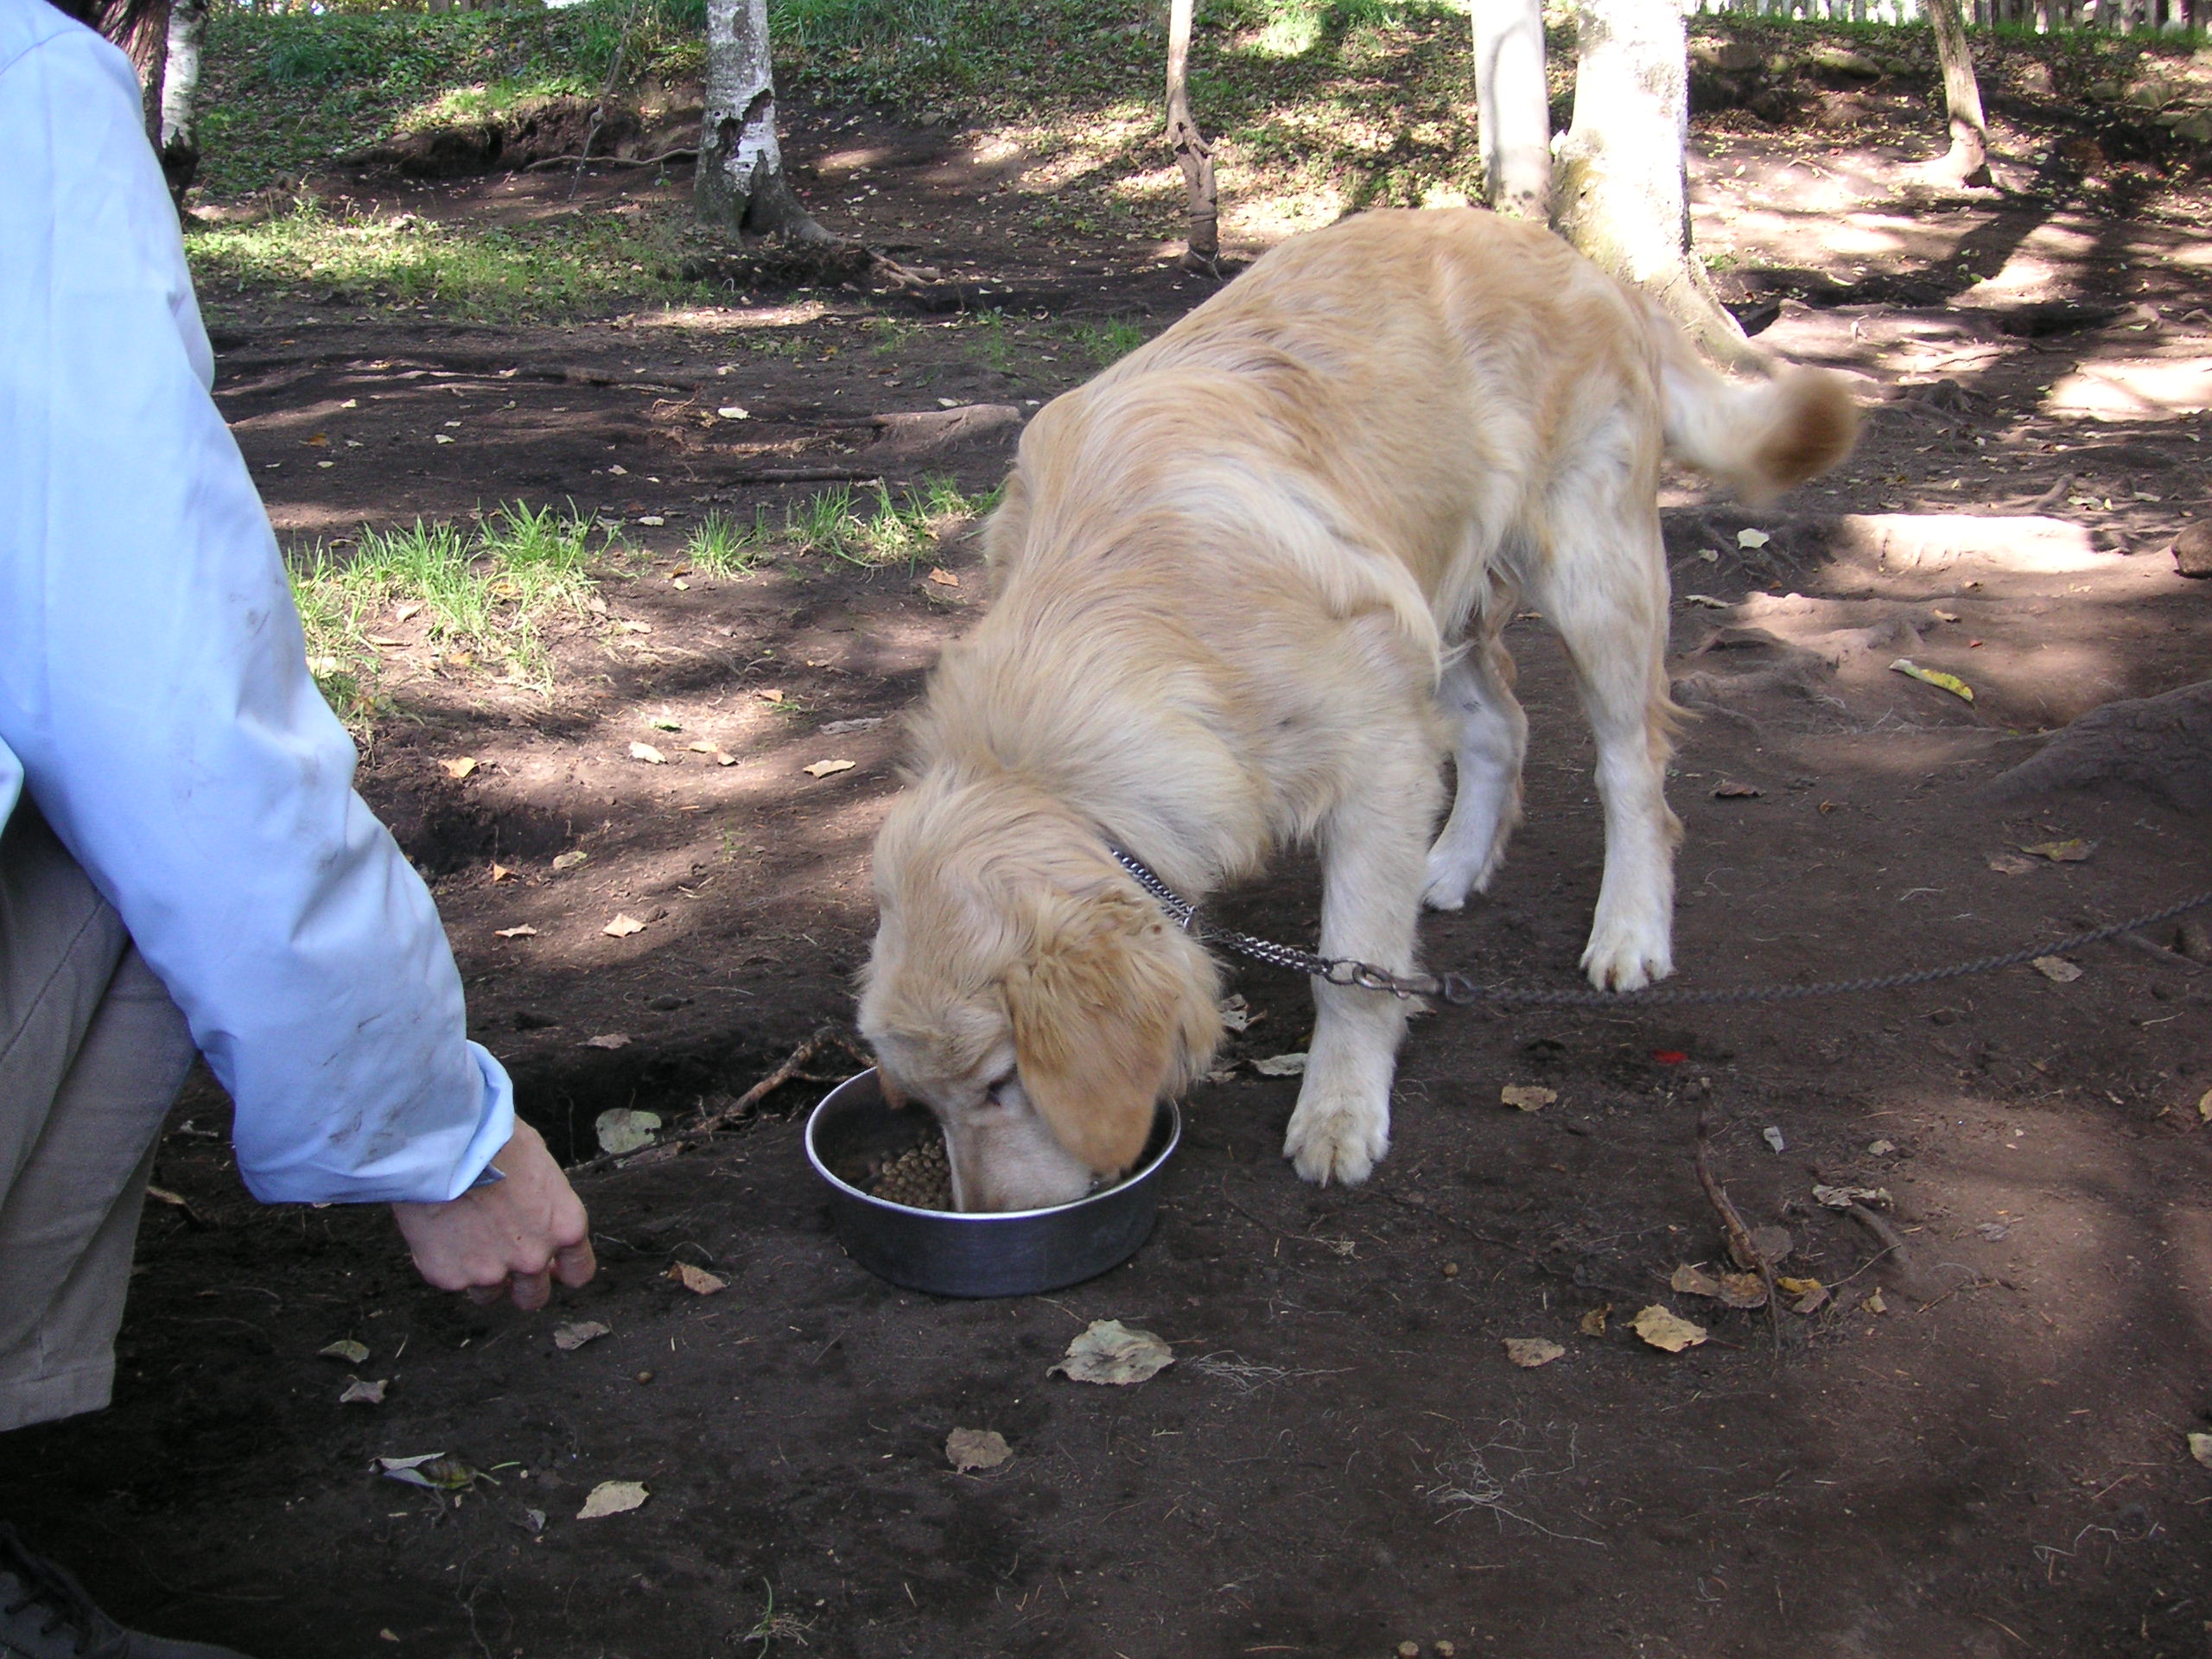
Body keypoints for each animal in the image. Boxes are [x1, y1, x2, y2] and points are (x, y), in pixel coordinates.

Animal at [854, 214, 1858, 1211]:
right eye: (928, 1103)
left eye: (999, 1081)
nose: (988, 1219)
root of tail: (1576, 258)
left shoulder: (1378, 763)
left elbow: (1355, 970)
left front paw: (1338, 1110)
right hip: (1431, 601)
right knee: (1504, 728)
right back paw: (1450, 863)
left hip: (1590, 578)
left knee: (1632, 770)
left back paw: (1630, 928)